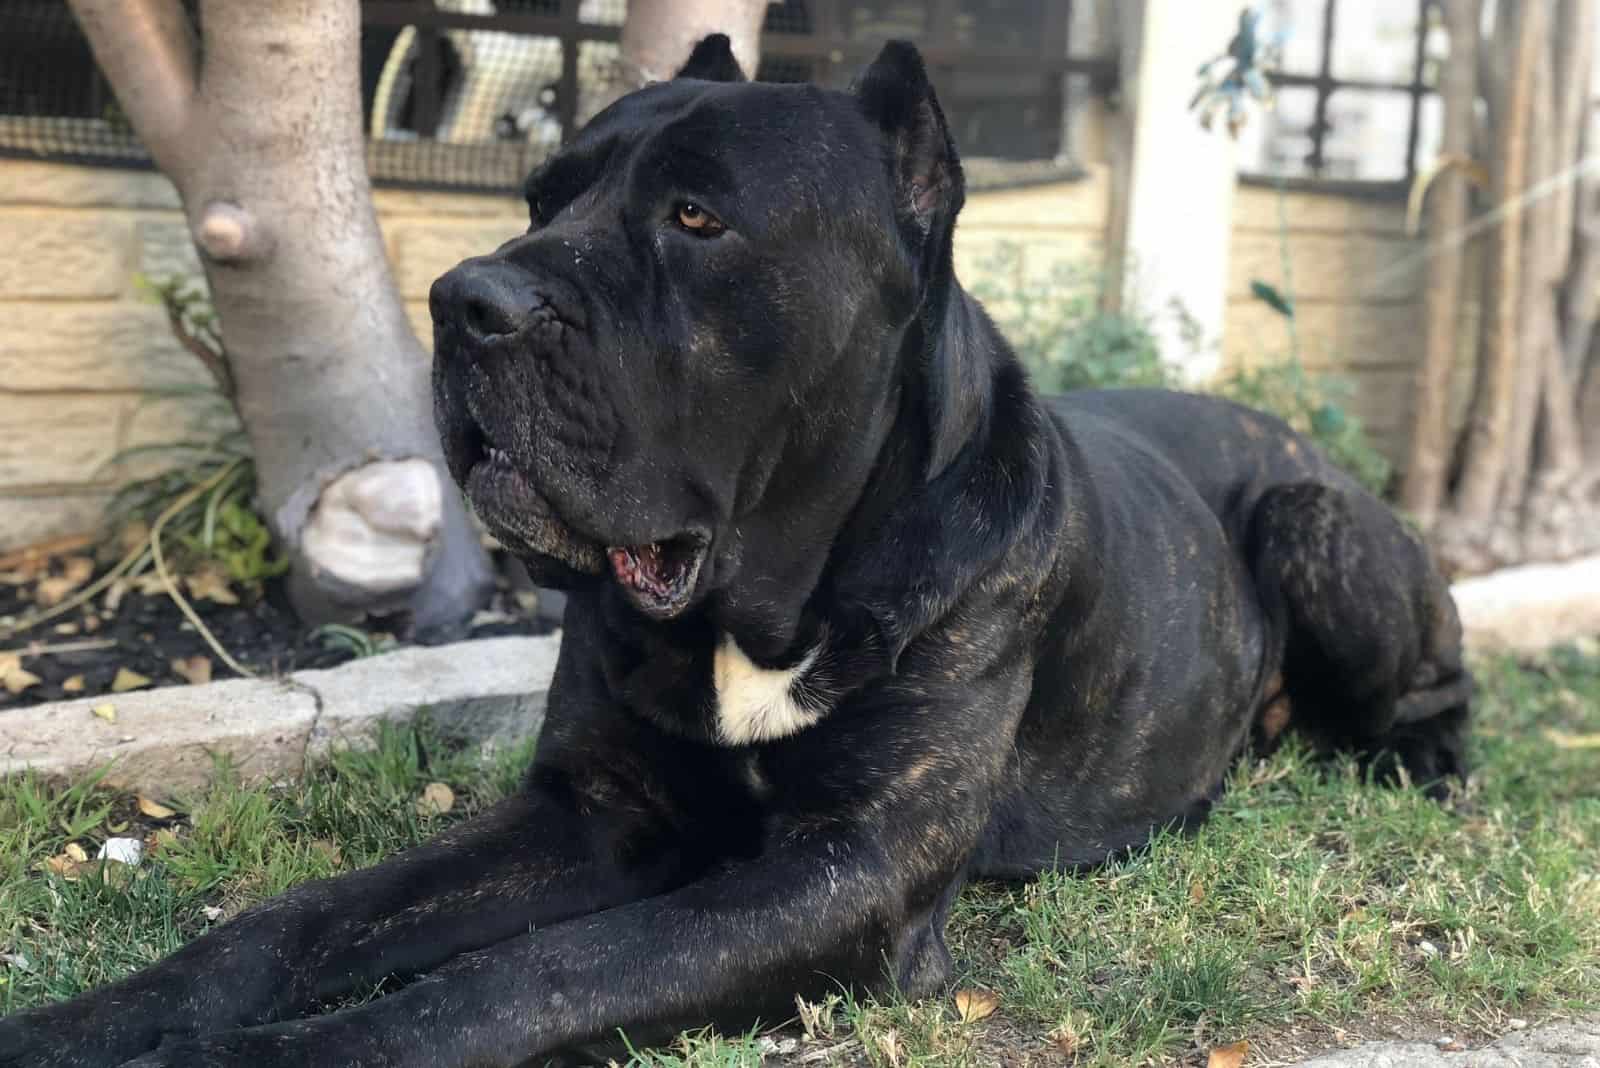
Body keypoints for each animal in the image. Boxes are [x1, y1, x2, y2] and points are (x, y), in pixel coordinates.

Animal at [3, 37, 1472, 1061]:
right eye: (539, 196)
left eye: (696, 219)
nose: (466, 300)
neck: (762, 604)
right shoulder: (595, 812)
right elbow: (293, 919)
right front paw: (90, 1028)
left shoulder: (847, 871)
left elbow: (535, 974)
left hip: (1313, 521)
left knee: (1440, 689)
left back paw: (1422, 772)